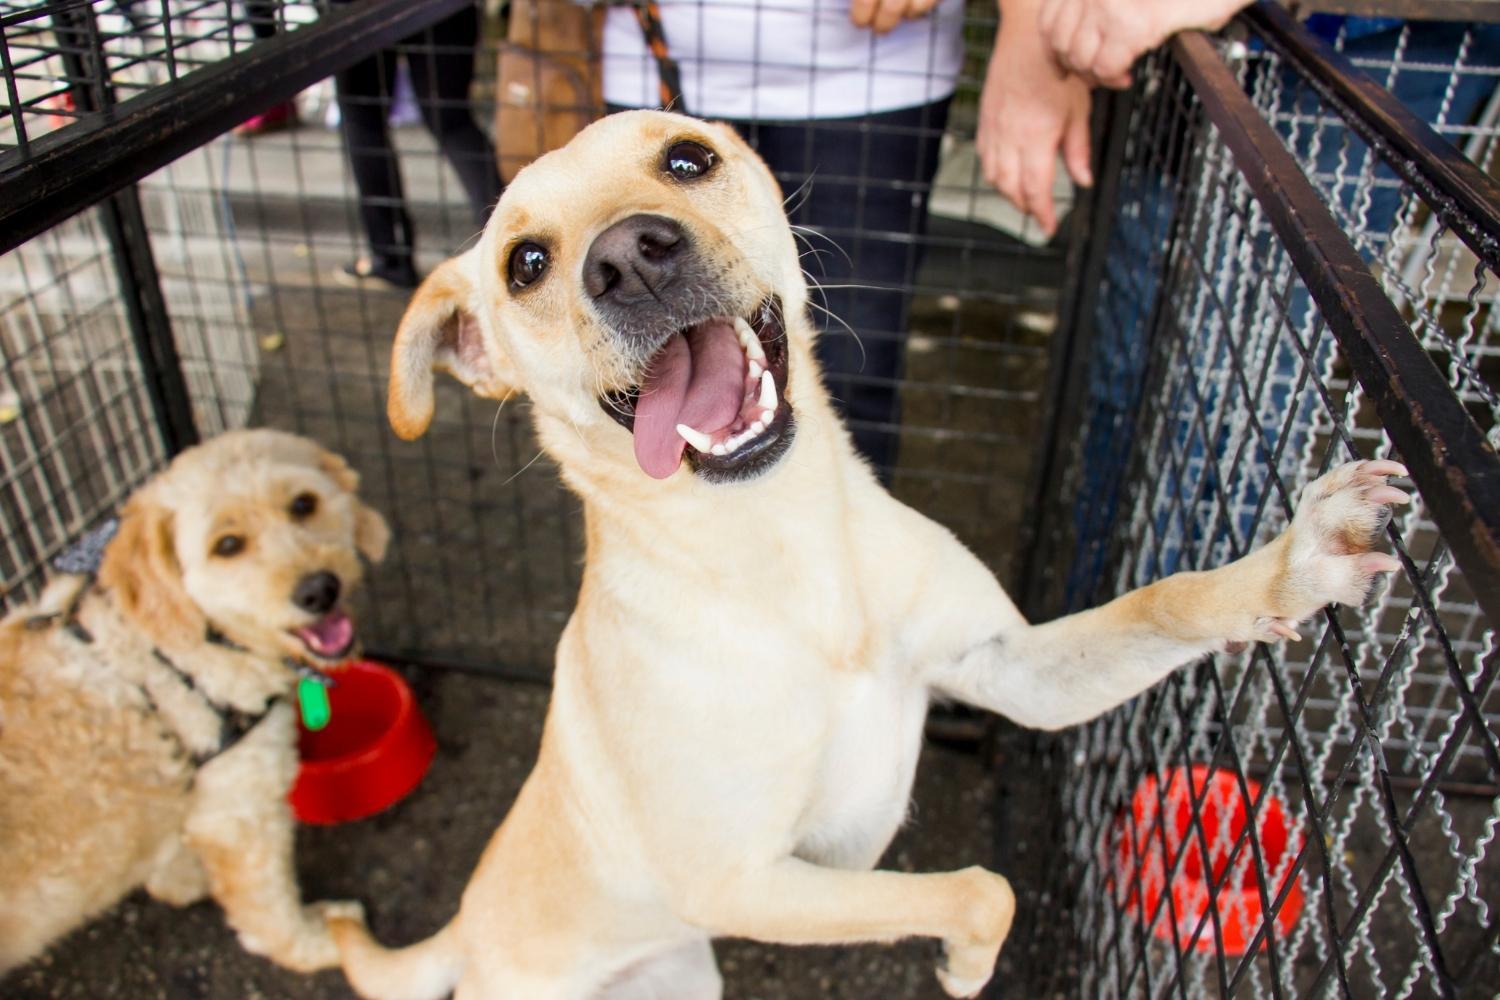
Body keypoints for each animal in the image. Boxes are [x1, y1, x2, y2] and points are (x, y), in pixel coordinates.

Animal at [0, 431, 393, 977]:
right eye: (227, 545)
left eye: (303, 504)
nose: (319, 590)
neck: (171, 652)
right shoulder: (240, 814)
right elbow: (270, 915)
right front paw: (324, 944)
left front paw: (181, 879)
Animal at [325, 111, 1404, 1000]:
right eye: (525, 264)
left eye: (688, 159)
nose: (630, 257)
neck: (785, 547)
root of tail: (467, 925)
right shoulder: (756, 878)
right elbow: (979, 888)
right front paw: (969, 966)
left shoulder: (1008, 670)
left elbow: (1166, 601)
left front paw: (1297, 563)